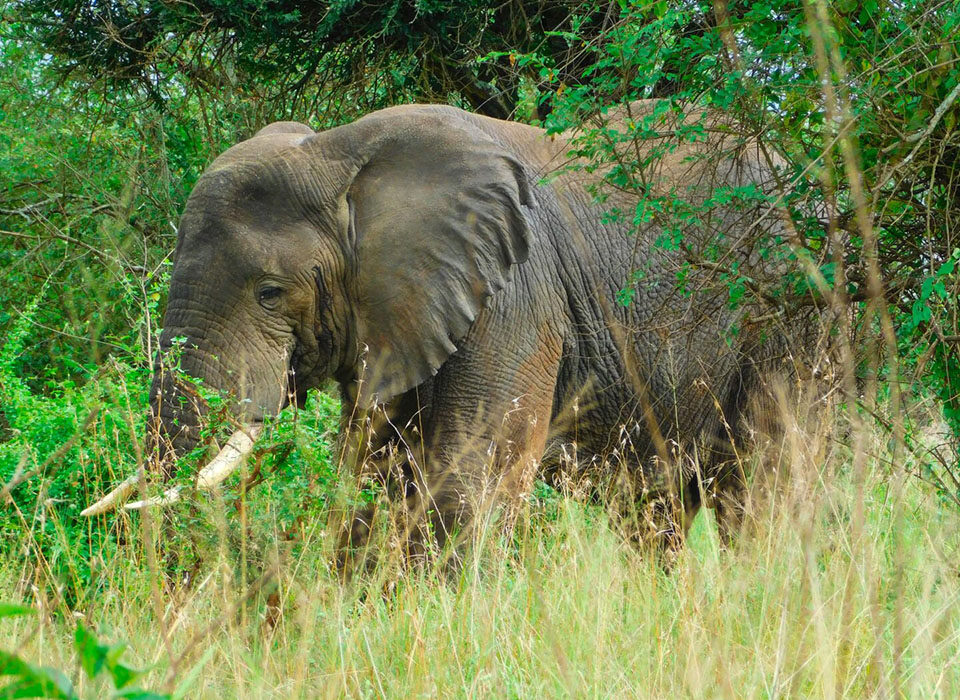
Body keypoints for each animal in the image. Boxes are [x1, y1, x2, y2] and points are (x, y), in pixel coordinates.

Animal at [83, 101, 801, 562]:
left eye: (269, 292)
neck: (340, 157)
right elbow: (369, 479)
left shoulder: (514, 297)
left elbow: (467, 482)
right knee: (657, 510)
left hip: (791, 306)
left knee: (767, 477)